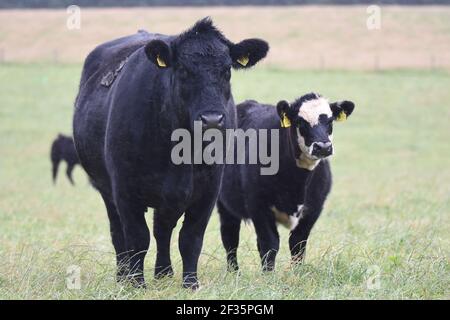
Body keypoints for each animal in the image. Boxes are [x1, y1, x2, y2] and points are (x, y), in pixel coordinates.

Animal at [73, 16, 268, 290]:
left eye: (227, 71)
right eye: (183, 70)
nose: (212, 119)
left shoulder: (208, 189)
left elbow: (190, 237)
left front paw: (190, 284)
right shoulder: (125, 188)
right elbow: (137, 237)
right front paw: (137, 284)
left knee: (162, 230)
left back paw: (163, 272)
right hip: (105, 187)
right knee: (118, 232)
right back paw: (123, 275)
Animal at [218, 93, 356, 272]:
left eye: (330, 121)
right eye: (300, 122)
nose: (323, 147)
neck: (297, 183)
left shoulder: (314, 208)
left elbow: (298, 244)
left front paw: (298, 274)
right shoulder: (258, 206)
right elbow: (270, 244)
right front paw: (268, 275)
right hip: (224, 205)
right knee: (230, 237)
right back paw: (234, 272)